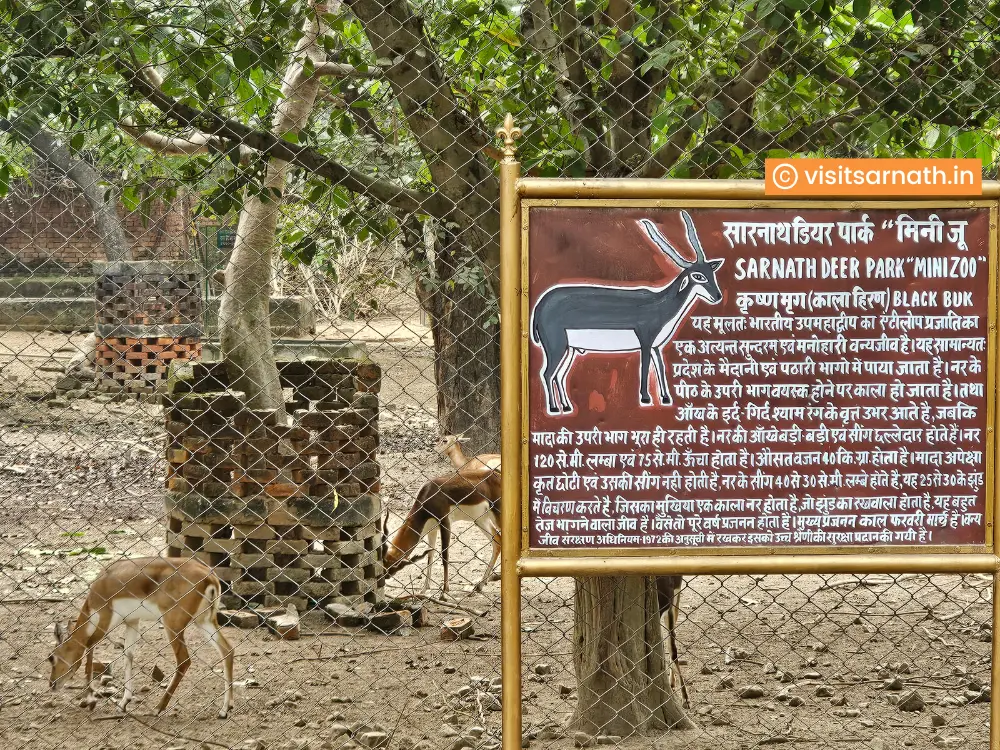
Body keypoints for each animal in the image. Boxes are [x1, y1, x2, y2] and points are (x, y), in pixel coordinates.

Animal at [48, 560, 234, 724]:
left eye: (51, 657)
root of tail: (210, 577)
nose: (52, 684)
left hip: (173, 625)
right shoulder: (132, 621)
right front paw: (123, 702)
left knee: (184, 661)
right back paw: (225, 709)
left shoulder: (104, 620)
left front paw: (89, 700)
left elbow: (89, 649)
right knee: (227, 650)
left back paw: (157, 708)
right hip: (204, 622)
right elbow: (128, 655)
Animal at [386, 470, 504, 600]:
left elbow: (444, 555)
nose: (385, 577)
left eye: (394, 564)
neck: (428, 494)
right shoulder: (432, 530)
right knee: (497, 542)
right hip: (480, 520)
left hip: (496, 516)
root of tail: (497, 475)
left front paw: (444, 591)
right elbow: (430, 556)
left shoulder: (445, 522)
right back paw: (480, 585)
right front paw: (424, 589)